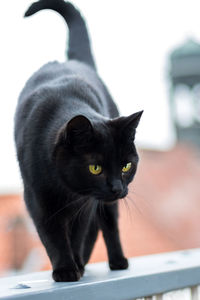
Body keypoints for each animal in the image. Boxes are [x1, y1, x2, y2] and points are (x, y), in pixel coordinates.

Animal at [14, 0, 142, 282]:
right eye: (95, 167)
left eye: (126, 166)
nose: (117, 187)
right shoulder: (38, 200)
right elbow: (52, 236)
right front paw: (65, 269)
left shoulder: (85, 204)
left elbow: (78, 233)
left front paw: (75, 265)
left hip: (104, 205)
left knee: (107, 224)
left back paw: (115, 261)